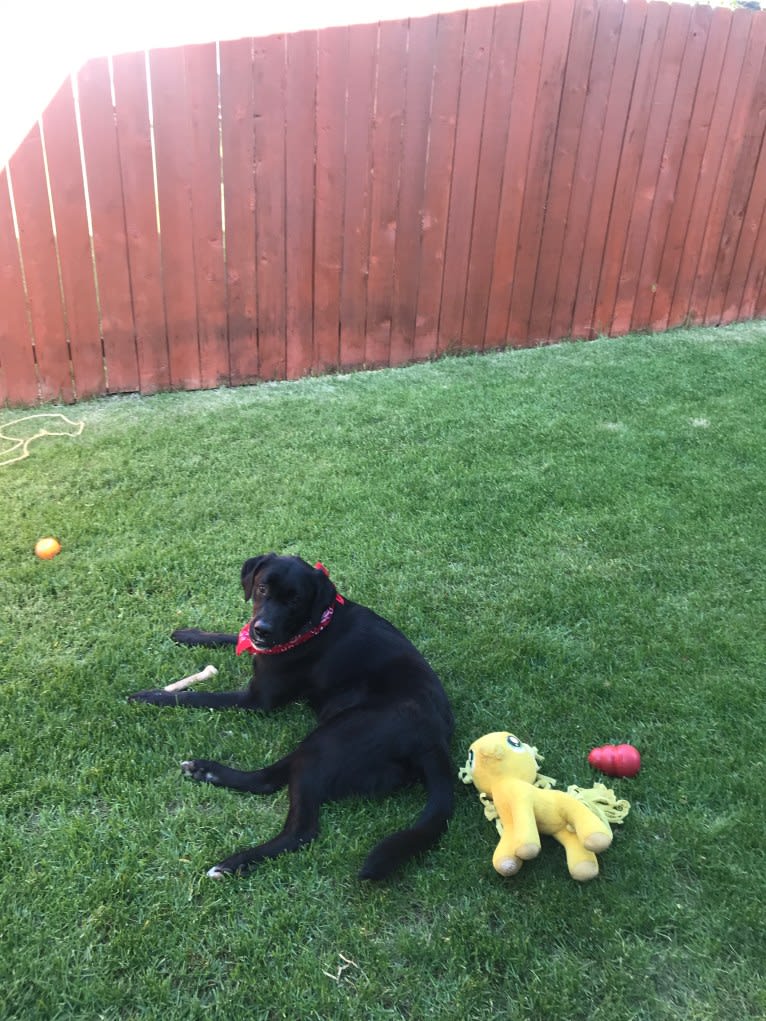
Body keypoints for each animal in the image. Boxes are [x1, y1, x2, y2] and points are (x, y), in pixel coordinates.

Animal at [128, 551, 453, 878]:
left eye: (295, 599)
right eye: (262, 588)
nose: (263, 629)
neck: (313, 626)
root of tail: (434, 744)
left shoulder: (256, 700)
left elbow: (196, 695)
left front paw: (151, 696)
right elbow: (232, 636)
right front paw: (189, 634)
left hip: (333, 738)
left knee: (297, 824)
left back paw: (235, 862)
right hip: (326, 739)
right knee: (273, 776)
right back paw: (206, 771)